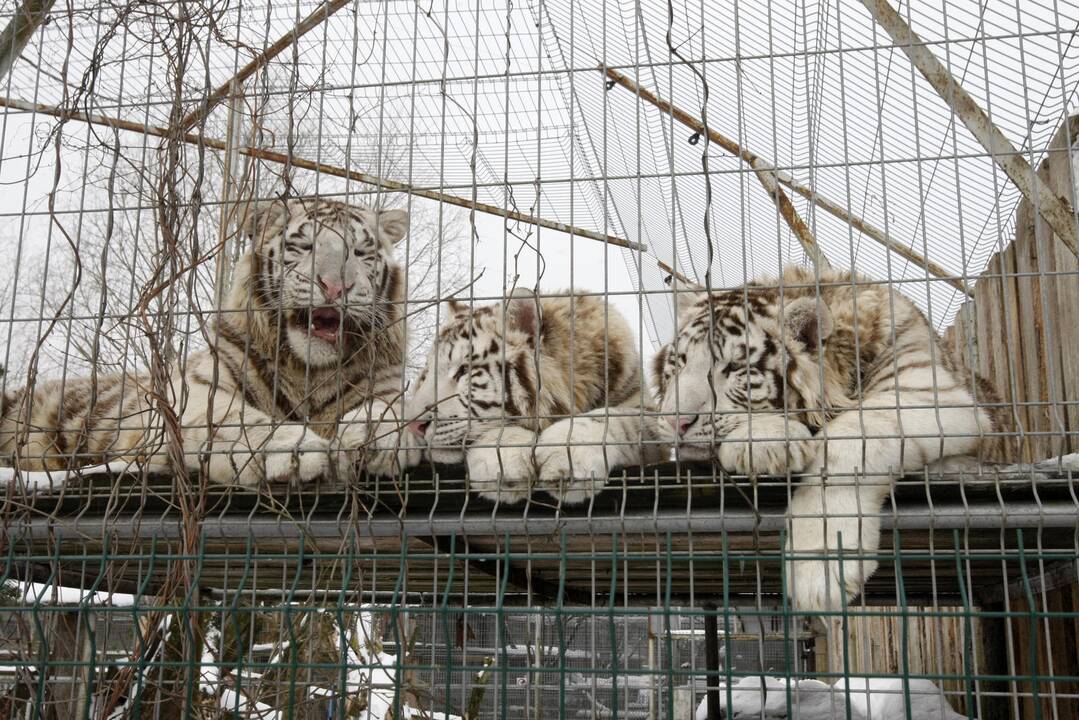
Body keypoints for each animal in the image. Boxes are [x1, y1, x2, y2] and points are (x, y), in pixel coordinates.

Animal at [1, 197, 412, 483]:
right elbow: (235, 419)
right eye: (305, 247)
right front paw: (297, 449)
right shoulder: (193, 392)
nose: (335, 286)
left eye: (360, 253)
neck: (308, 369)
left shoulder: (385, 385)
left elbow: (396, 407)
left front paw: (374, 436)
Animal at [647, 266, 1001, 613]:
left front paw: (821, 565)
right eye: (679, 362)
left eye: (734, 368)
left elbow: (848, 440)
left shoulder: (932, 394)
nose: (675, 421)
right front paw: (768, 442)